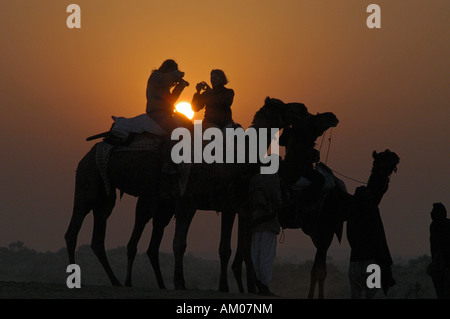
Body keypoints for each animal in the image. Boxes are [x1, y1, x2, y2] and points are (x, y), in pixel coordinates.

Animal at [65, 97, 308, 290]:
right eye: (283, 106)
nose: (303, 107)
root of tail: (89, 152)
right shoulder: (186, 201)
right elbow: (179, 243)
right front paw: (180, 282)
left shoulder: (226, 206)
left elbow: (224, 248)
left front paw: (224, 287)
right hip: (89, 183)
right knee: (74, 230)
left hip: (109, 196)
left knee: (101, 236)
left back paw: (120, 281)